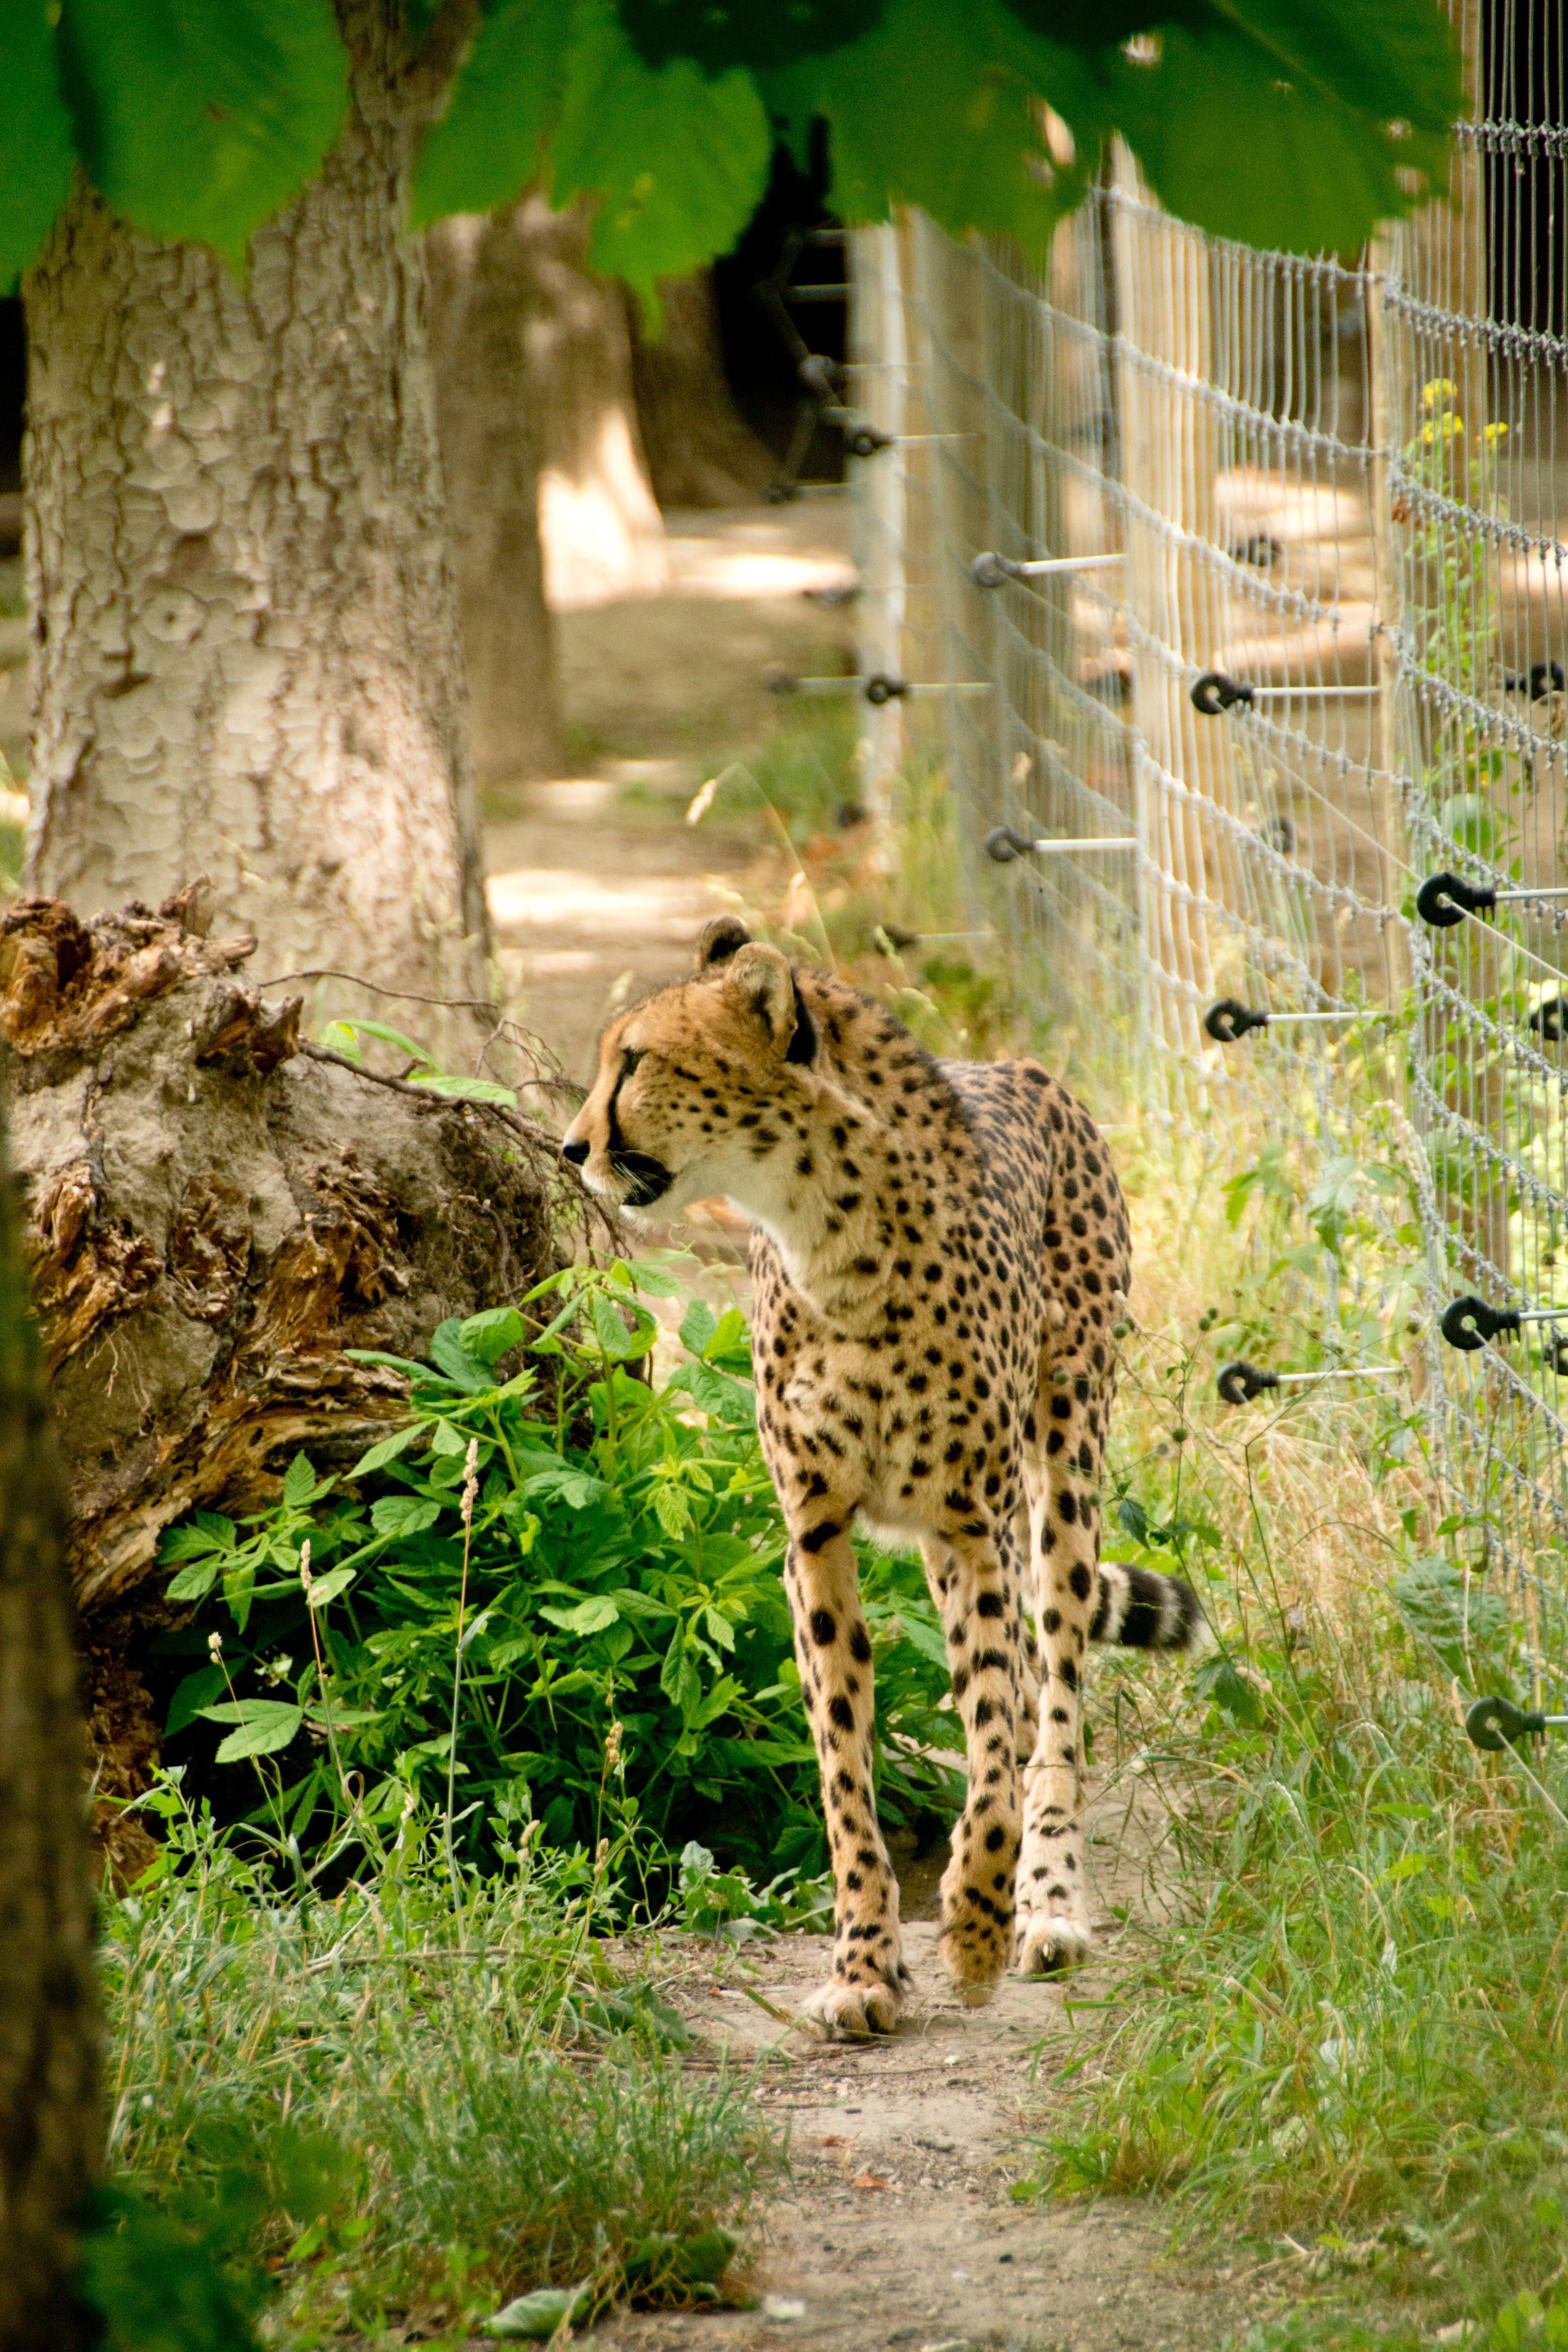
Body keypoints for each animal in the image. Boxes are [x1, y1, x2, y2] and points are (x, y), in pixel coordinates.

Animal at [561, 916, 1205, 2036]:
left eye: (634, 1062)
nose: (571, 1146)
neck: (832, 1238)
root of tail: (1017, 1065)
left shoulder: (973, 1529)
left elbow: (992, 1760)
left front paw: (975, 1931)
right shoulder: (814, 1536)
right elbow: (842, 1770)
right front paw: (866, 1964)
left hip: (1065, 1472)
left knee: (1052, 1706)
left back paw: (1046, 1907)